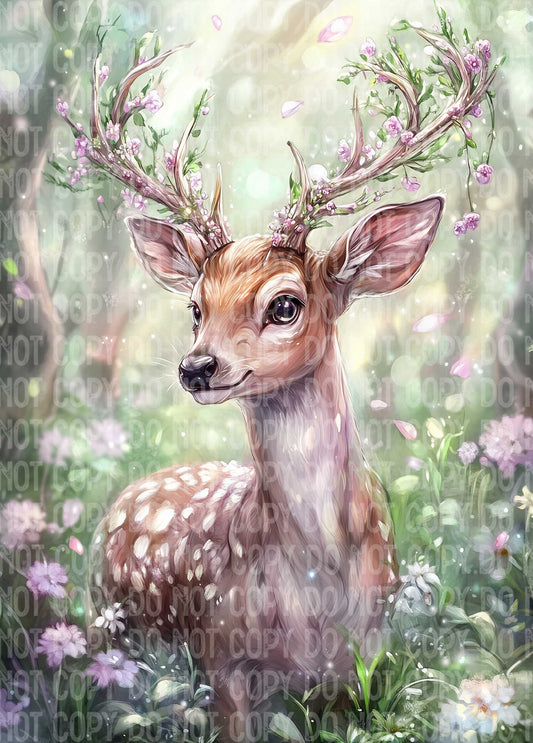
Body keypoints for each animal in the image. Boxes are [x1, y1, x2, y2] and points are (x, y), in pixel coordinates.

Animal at [67, 23, 496, 743]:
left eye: (285, 304)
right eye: (195, 308)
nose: (196, 367)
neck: (316, 595)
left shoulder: (364, 662)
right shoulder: (220, 653)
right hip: (110, 624)